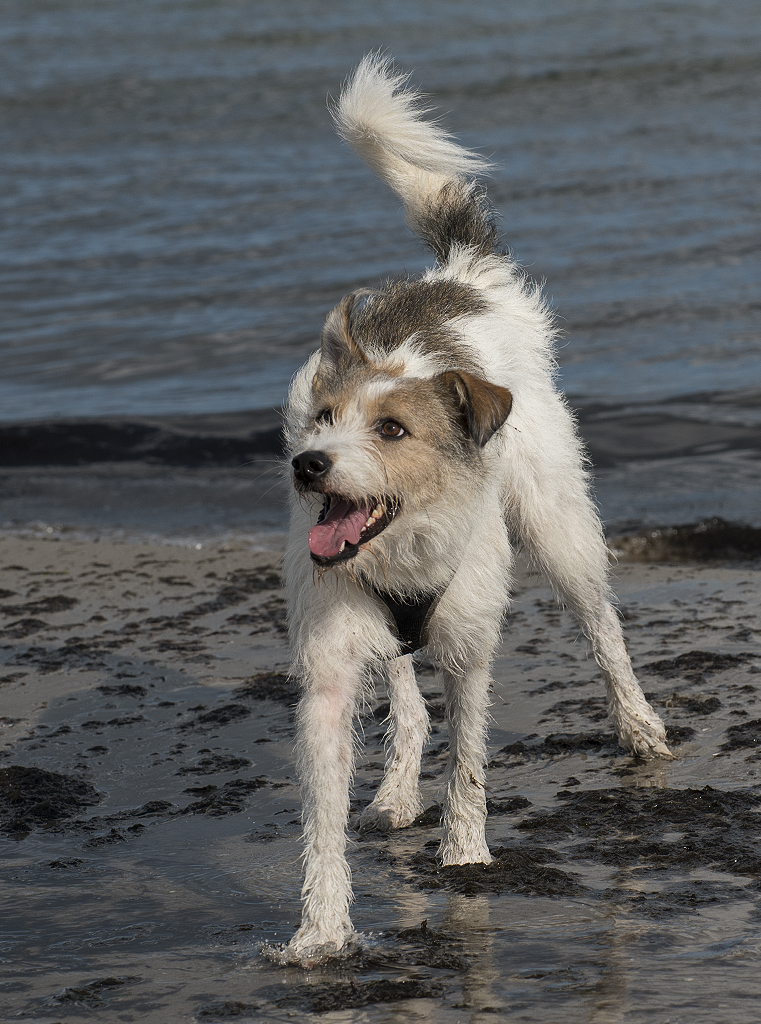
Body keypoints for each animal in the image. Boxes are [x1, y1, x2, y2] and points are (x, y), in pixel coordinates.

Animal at [280, 56, 671, 962]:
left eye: (392, 430)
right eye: (324, 419)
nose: (309, 466)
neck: (403, 552)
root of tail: (460, 277)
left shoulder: (468, 644)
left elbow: (467, 758)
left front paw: (463, 853)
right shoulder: (329, 663)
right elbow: (324, 811)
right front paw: (321, 930)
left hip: (558, 525)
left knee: (601, 626)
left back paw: (637, 725)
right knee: (404, 697)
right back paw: (393, 790)